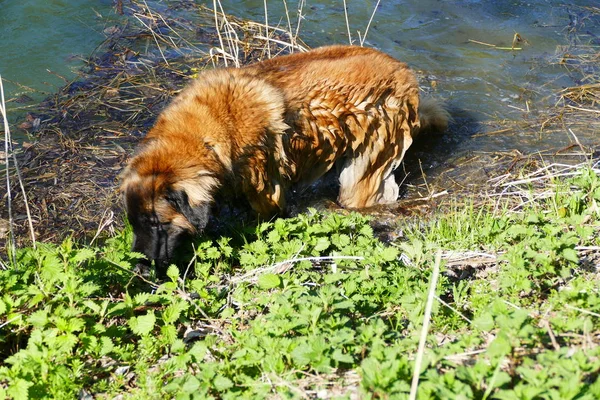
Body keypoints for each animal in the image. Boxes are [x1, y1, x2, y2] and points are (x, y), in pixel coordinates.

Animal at [122, 44, 448, 276]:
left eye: (155, 222)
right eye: (133, 222)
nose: (137, 269)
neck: (210, 133)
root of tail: (402, 69)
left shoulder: (266, 190)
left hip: (364, 170)